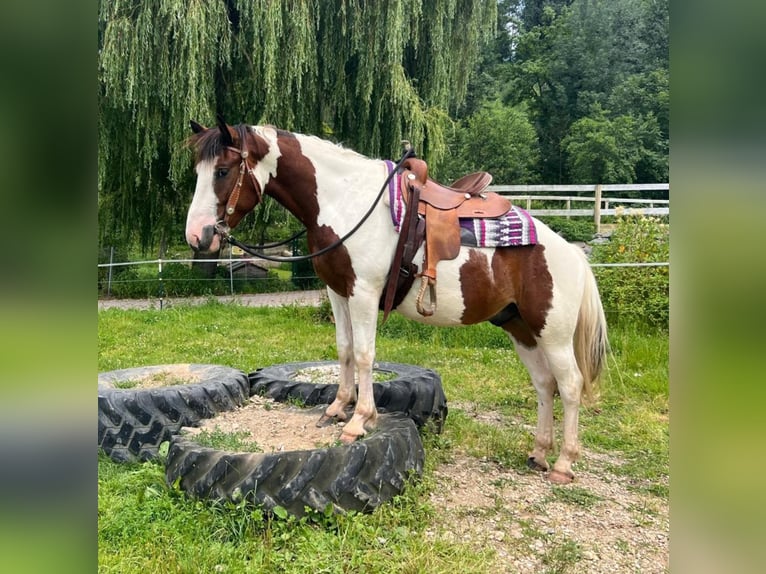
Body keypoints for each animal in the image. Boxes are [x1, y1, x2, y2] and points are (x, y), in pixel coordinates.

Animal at [183, 118, 608, 486]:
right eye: (198, 171)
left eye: (222, 171)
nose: (197, 236)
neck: (345, 204)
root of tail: (572, 253)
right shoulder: (339, 293)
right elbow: (345, 350)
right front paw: (337, 408)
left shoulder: (365, 293)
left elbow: (365, 355)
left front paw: (359, 421)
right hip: (520, 328)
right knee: (544, 384)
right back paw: (539, 453)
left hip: (552, 333)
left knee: (570, 385)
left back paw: (564, 463)